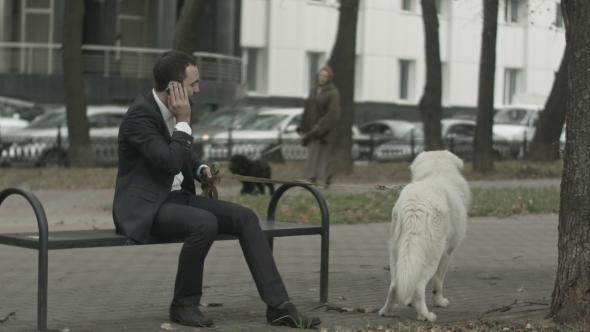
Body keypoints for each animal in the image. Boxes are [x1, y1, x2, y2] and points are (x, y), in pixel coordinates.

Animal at [382, 151, 474, 322]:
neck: (436, 173)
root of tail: (416, 205)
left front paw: (410, 302)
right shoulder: (447, 253)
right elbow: (438, 283)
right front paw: (439, 302)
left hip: (397, 252)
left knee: (395, 285)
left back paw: (387, 312)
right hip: (432, 256)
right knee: (419, 286)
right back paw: (425, 315)